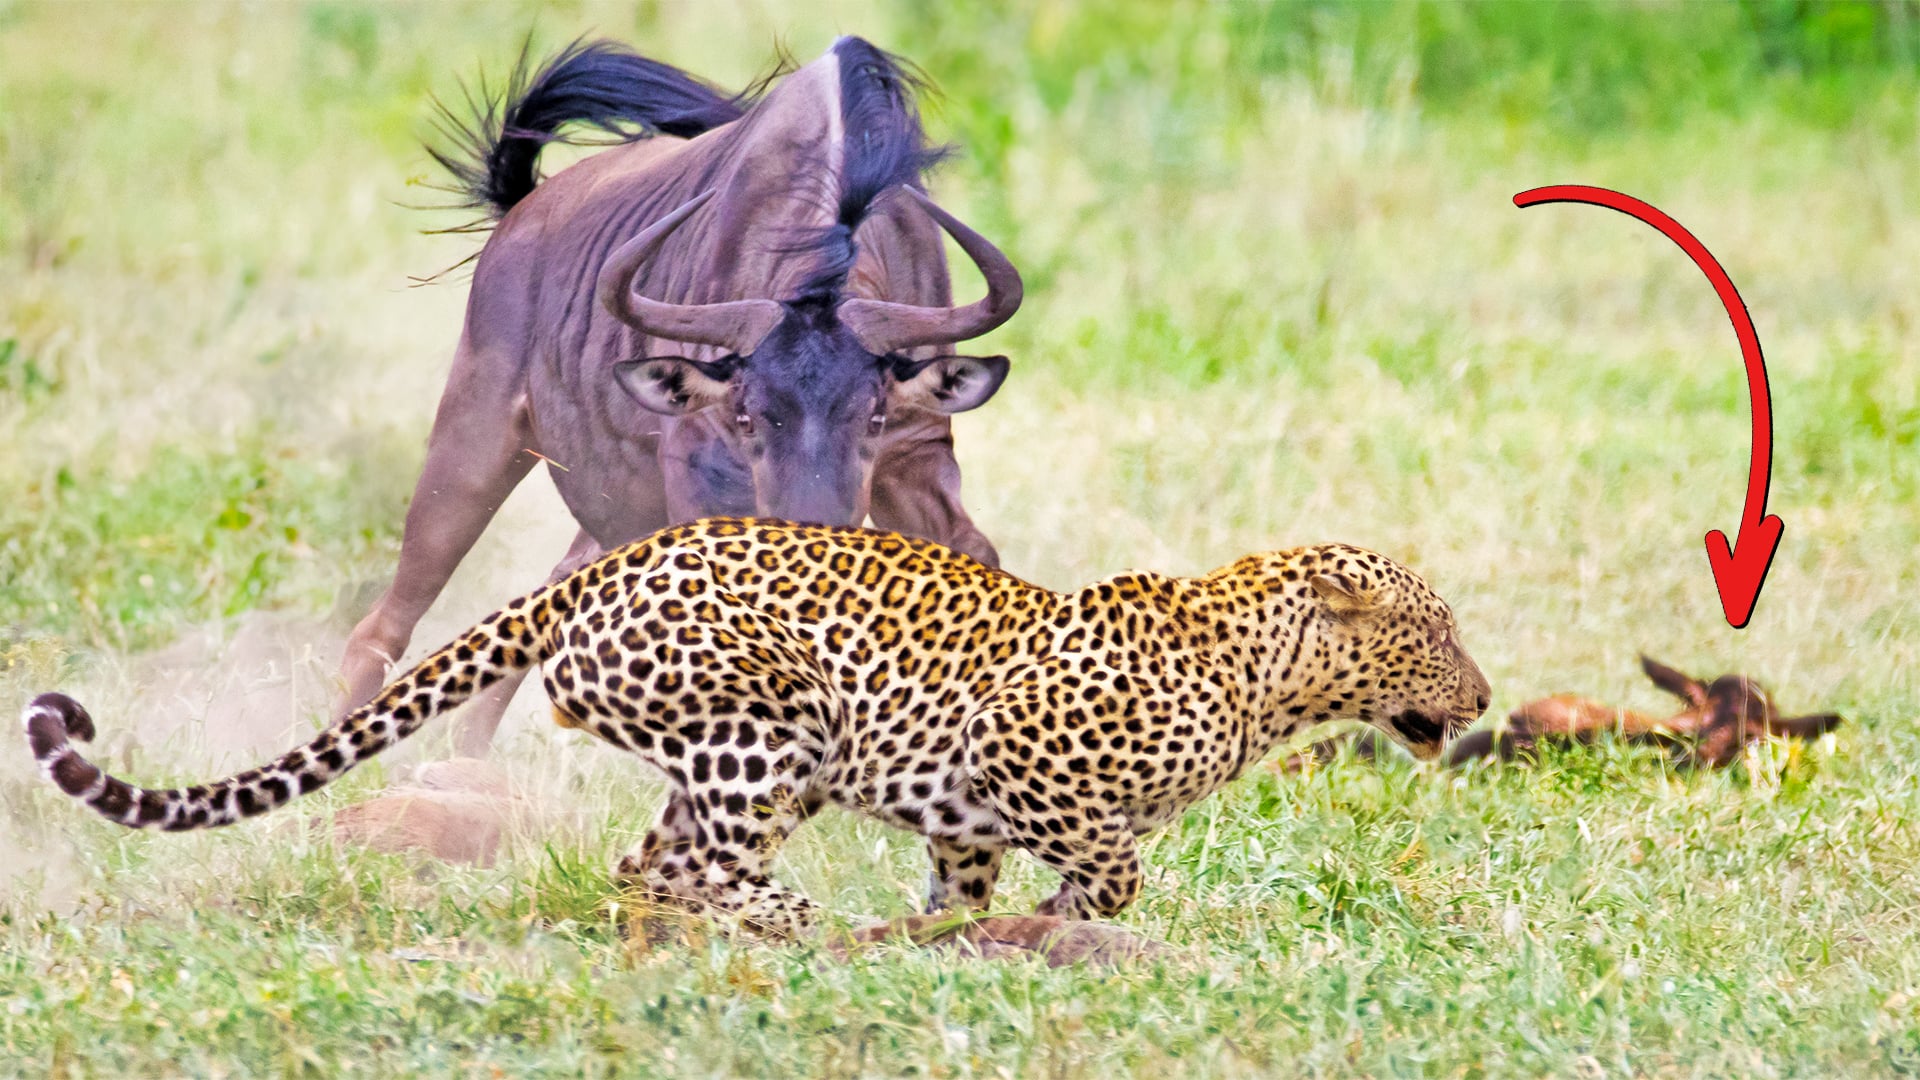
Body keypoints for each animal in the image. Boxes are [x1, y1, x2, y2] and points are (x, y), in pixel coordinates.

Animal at [24, 518, 1490, 934]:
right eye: (1439, 630)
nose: (1482, 702)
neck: (1262, 682)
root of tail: (601, 569)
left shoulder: (967, 816)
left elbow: (977, 882)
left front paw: (967, 939)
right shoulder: (1015, 757)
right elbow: (1115, 861)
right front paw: (1062, 922)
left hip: (735, 758)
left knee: (646, 867)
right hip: (772, 731)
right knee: (705, 865)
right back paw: (791, 921)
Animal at [335, 37, 1024, 756]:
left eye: (875, 416)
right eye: (747, 416)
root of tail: (523, 213)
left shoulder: (916, 455)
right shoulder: (702, 474)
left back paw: (463, 768)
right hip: (476, 438)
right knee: (381, 629)